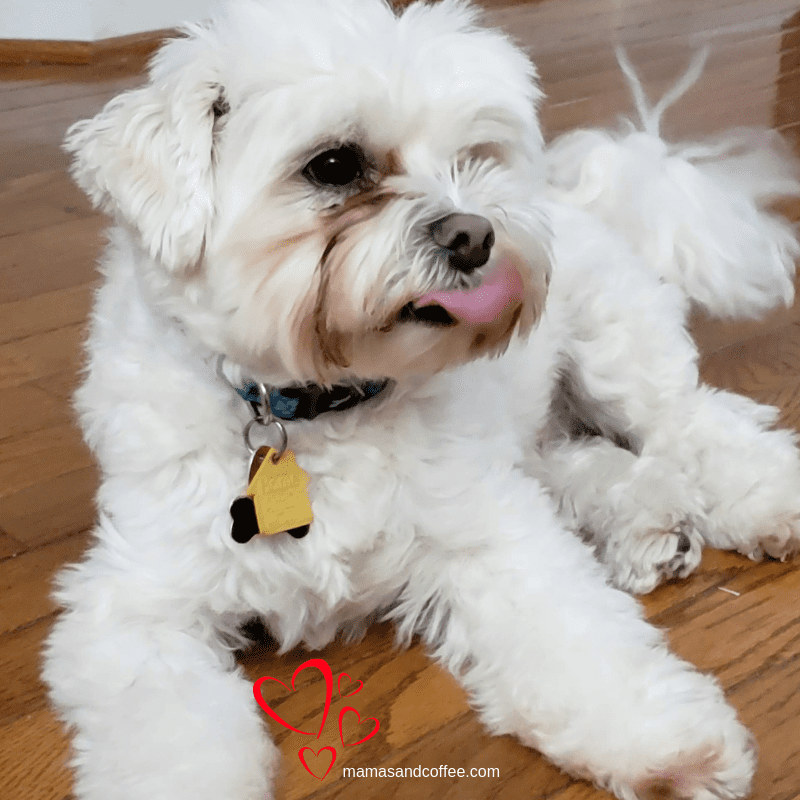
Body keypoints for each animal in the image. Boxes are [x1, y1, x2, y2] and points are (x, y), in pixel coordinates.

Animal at [42, 1, 800, 800]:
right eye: (334, 165)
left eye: (474, 156)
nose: (475, 235)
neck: (319, 407)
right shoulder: (137, 608)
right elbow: (172, 737)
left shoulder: (492, 536)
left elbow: (580, 639)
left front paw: (660, 741)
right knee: (579, 460)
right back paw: (650, 526)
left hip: (613, 349)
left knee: (691, 420)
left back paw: (763, 501)